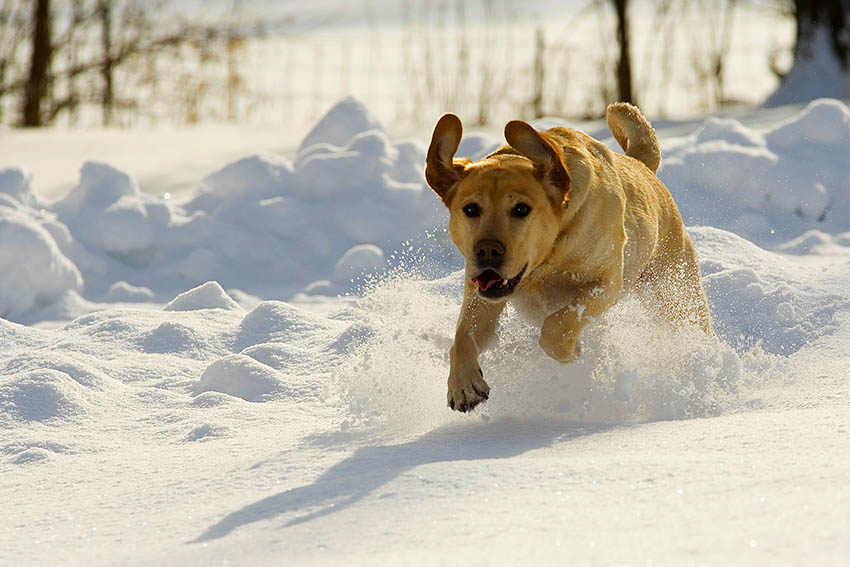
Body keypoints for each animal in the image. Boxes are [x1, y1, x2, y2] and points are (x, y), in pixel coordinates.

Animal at [422, 102, 708, 412]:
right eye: (471, 209)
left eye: (521, 209)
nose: (487, 250)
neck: (547, 260)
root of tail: (643, 167)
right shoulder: (482, 296)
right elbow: (462, 336)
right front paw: (463, 386)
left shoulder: (606, 283)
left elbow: (556, 327)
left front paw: (574, 351)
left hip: (676, 292)